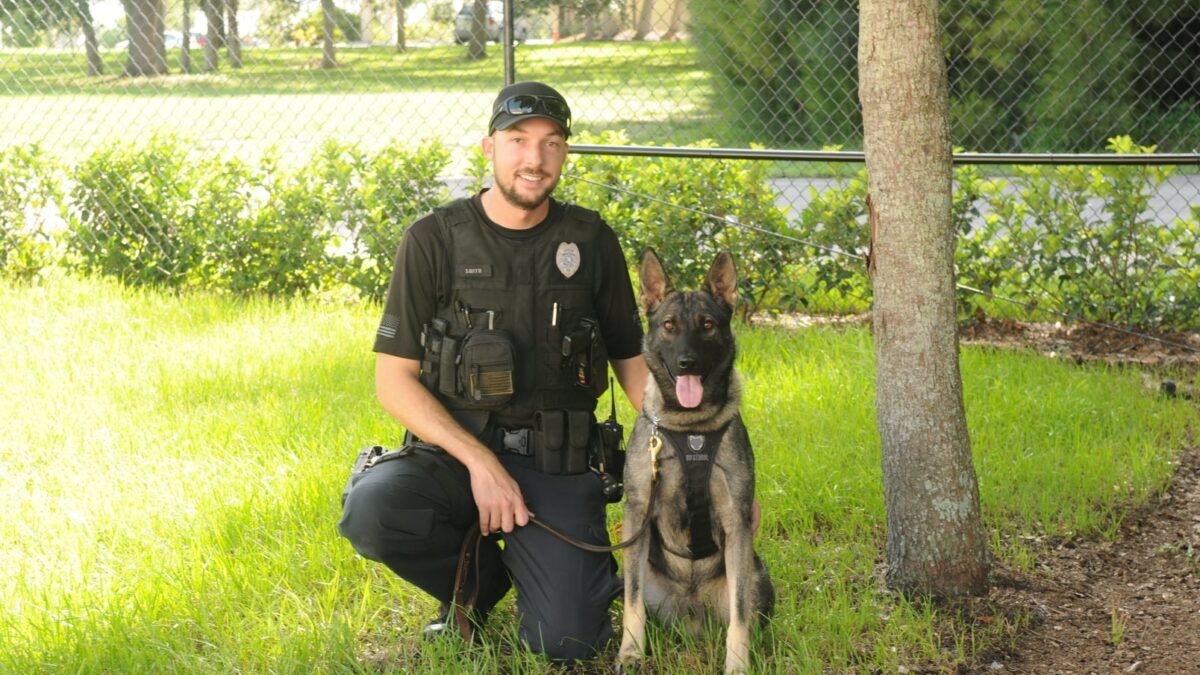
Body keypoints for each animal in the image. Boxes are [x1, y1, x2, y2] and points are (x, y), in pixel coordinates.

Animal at [619, 248, 777, 672]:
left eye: (707, 325)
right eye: (669, 325)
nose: (687, 362)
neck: (690, 428)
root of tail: (693, 613)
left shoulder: (737, 522)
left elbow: (740, 612)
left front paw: (737, 663)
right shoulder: (637, 514)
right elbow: (632, 601)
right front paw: (630, 652)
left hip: (756, 571)